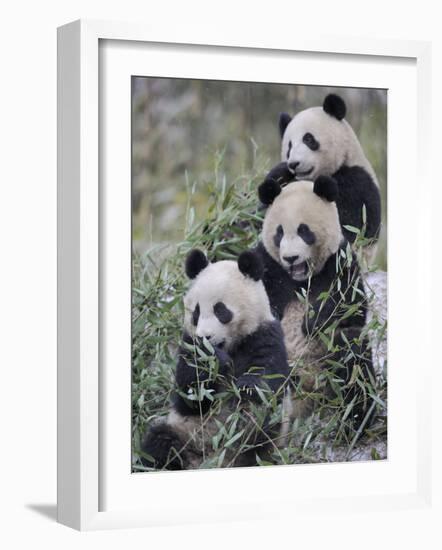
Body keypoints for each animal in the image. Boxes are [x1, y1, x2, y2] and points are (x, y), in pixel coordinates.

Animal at [140, 249, 288, 470]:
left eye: (221, 310)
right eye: (196, 312)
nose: (205, 337)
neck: (229, 346)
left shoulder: (265, 334)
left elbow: (268, 378)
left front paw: (245, 388)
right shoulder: (189, 345)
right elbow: (190, 395)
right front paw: (214, 362)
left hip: (267, 441)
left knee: (260, 430)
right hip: (182, 432)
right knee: (158, 443)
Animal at [256, 177, 376, 432]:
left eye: (304, 231)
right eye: (279, 233)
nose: (291, 258)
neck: (301, 280)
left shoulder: (340, 261)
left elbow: (350, 306)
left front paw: (311, 322)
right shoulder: (268, 265)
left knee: (352, 356)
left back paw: (355, 423)